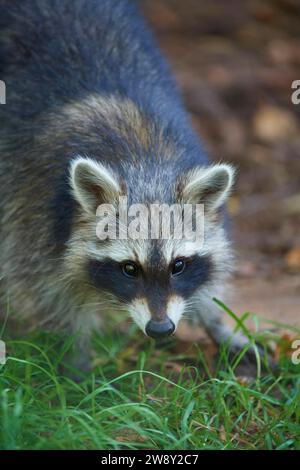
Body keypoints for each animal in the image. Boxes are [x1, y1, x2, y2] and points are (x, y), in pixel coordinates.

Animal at [0, 0, 256, 370]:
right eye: (129, 269)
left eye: (178, 265)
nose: (161, 329)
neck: (144, 163)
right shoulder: (31, 203)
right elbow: (45, 288)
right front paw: (74, 353)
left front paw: (216, 319)